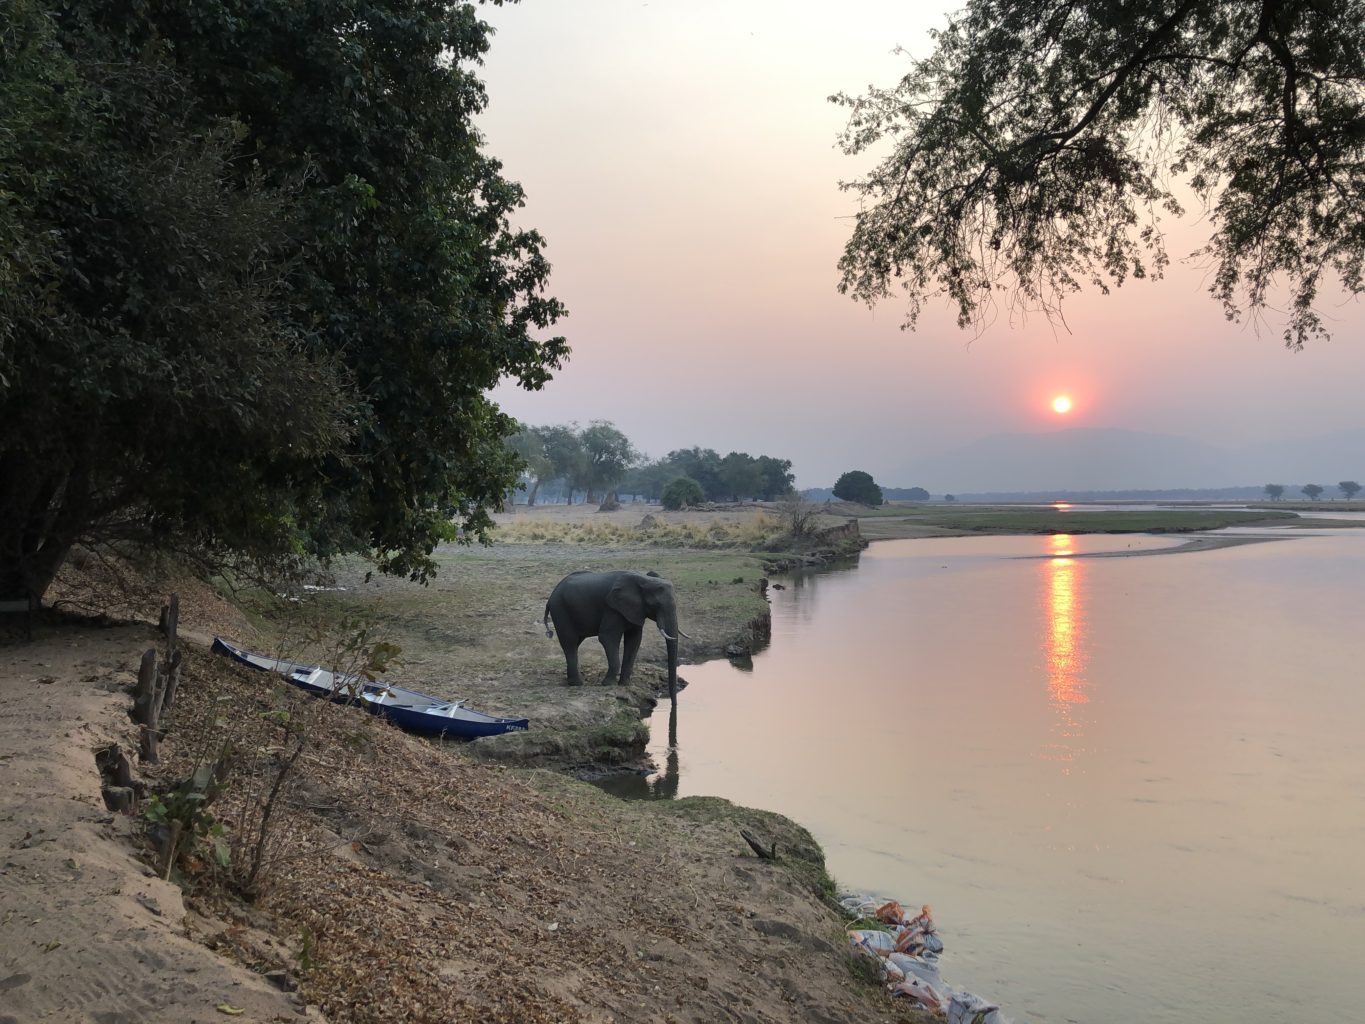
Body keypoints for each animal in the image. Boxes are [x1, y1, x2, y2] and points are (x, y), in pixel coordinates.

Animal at [543, 570, 689, 698]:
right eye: (656, 604)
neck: (644, 579)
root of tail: (551, 596)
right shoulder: (612, 608)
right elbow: (607, 638)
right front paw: (607, 684)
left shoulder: (635, 610)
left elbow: (634, 640)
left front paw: (625, 684)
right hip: (560, 610)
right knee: (570, 642)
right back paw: (577, 684)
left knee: (575, 643)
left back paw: (572, 681)